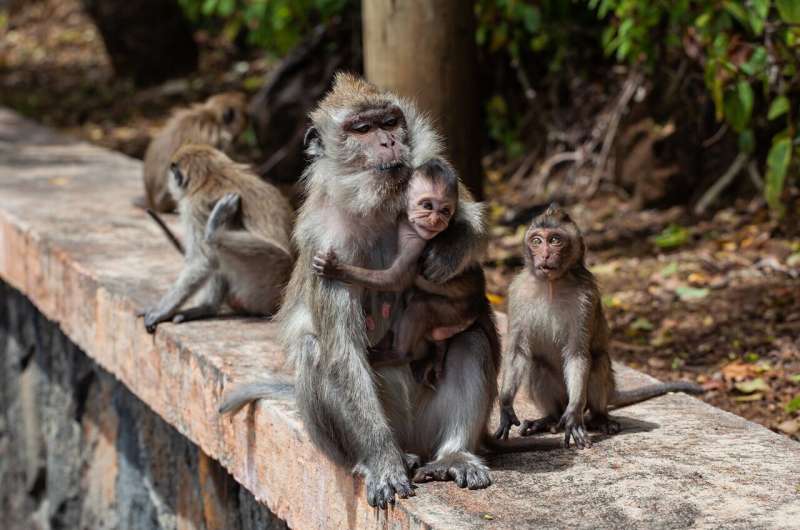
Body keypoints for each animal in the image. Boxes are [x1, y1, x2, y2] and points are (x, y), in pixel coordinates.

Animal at [141, 144, 294, 333]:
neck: (212, 174)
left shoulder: (194, 207)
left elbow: (203, 261)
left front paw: (162, 311)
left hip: (267, 281)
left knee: (215, 249)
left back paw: (213, 232)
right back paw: (207, 308)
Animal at [310, 157, 483, 387]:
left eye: (445, 210)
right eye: (427, 205)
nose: (436, 220)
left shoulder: (416, 242)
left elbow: (395, 279)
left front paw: (336, 270)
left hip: (457, 312)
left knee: (420, 307)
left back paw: (400, 354)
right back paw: (439, 352)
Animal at [495, 204, 703, 448]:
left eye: (555, 240)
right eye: (536, 241)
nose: (545, 254)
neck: (552, 284)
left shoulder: (586, 296)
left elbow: (578, 354)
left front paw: (573, 415)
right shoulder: (517, 292)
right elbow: (518, 352)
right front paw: (505, 406)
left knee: (598, 361)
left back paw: (599, 418)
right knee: (537, 365)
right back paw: (549, 419)